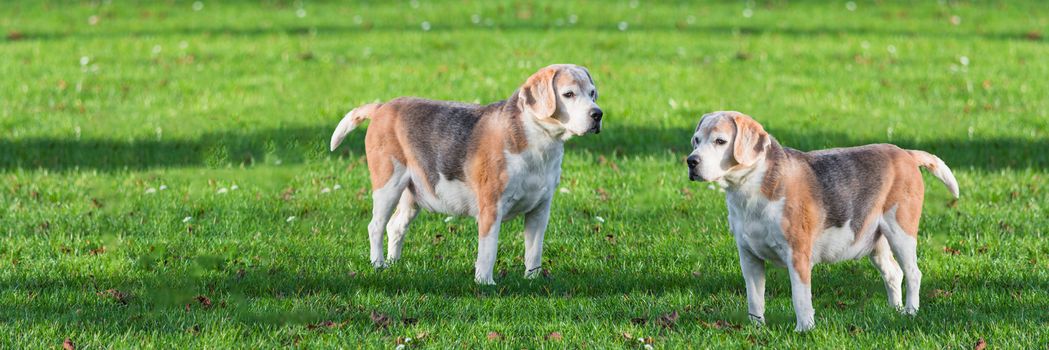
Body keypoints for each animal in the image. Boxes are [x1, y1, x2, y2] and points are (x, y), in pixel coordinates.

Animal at [329, 64, 608, 285]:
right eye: (569, 94)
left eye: (592, 93)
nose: (597, 114)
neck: (538, 139)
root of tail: (381, 107)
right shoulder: (491, 207)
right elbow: (488, 249)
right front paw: (485, 282)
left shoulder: (540, 210)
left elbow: (534, 250)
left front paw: (533, 277)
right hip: (388, 186)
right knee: (375, 226)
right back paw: (378, 264)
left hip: (412, 195)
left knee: (395, 227)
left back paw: (394, 263)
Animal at [683, 111, 960, 331]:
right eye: (696, 140)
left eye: (720, 141)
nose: (691, 161)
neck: (751, 186)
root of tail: (906, 154)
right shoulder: (749, 258)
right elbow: (755, 298)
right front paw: (756, 328)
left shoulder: (798, 255)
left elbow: (800, 297)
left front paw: (804, 330)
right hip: (877, 242)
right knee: (894, 274)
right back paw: (895, 311)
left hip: (901, 233)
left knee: (913, 273)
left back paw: (911, 312)